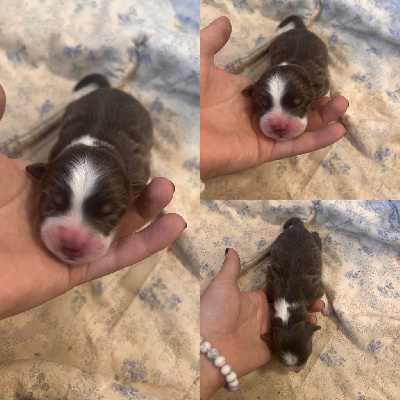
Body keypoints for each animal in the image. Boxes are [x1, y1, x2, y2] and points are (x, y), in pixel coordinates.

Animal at [261, 217, 332, 372]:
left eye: (310, 349)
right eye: (279, 359)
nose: (298, 370)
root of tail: (299, 226)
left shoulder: (314, 289)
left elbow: (323, 294)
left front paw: (326, 309)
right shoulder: (270, 288)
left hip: (315, 241)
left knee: (316, 236)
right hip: (277, 242)